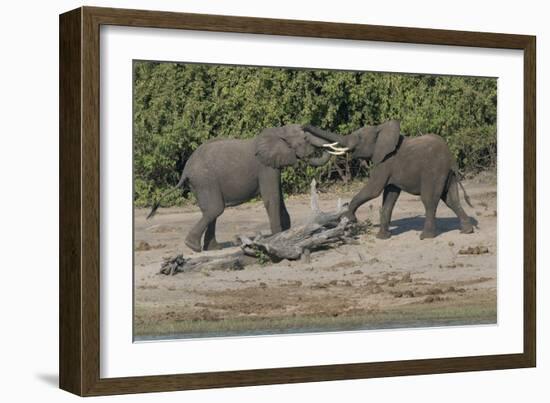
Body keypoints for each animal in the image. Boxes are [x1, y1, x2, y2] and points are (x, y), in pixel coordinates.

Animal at [147, 124, 336, 252]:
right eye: (305, 140)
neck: (278, 132)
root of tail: (185, 169)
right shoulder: (265, 167)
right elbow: (272, 197)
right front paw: (276, 237)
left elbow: (279, 197)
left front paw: (286, 233)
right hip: (205, 180)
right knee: (215, 209)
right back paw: (193, 247)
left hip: (200, 184)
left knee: (211, 211)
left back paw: (212, 248)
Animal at [304, 120, 476, 240]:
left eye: (359, 137)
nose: (304, 127)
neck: (380, 129)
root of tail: (451, 159)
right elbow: (389, 198)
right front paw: (382, 237)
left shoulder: (385, 162)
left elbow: (373, 190)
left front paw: (348, 218)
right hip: (448, 175)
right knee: (451, 200)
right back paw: (467, 231)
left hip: (433, 171)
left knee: (429, 201)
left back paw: (426, 236)